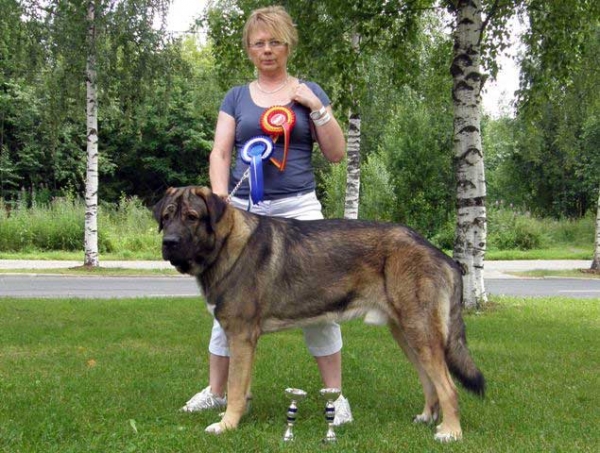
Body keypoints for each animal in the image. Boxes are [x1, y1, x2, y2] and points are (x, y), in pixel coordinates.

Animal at [152, 185, 486, 440]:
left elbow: (234, 387)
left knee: (449, 387)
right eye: (166, 217)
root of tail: (442, 256)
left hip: (420, 331)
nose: (169, 243)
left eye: (192, 217)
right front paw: (236, 417)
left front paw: (226, 425)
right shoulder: (242, 340)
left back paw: (451, 432)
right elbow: (241, 385)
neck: (225, 245)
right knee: (430, 382)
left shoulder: (241, 336)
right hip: (406, 333)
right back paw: (428, 418)